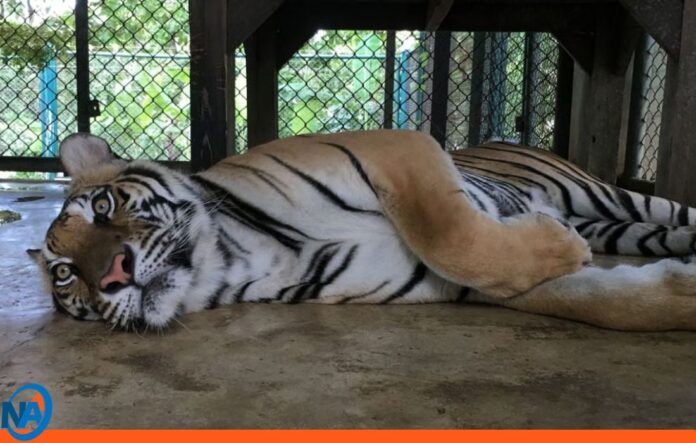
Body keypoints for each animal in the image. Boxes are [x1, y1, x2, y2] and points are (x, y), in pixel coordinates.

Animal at [27, 129, 696, 332]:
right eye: (64, 275)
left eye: (103, 205)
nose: (112, 277)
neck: (242, 260)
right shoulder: (453, 283)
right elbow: (600, 301)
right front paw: (680, 292)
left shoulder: (397, 147)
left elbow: (454, 234)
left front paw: (557, 241)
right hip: (618, 223)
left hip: (602, 193)